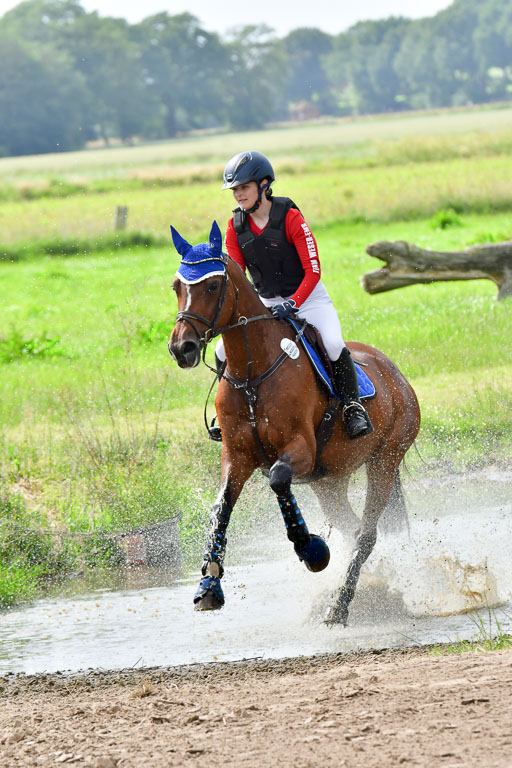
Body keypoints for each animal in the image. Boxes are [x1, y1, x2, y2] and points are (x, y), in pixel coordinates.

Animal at [168, 221, 421, 625]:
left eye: (212, 286)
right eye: (177, 286)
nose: (182, 348)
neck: (253, 373)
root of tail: (394, 373)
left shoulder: (299, 450)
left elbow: (278, 479)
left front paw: (312, 551)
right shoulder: (237, 457)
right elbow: (221, 509)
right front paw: (208, 586)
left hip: (384, 460)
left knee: (366, 534)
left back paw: (339, 605)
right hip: (329, 480)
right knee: (352, 528)